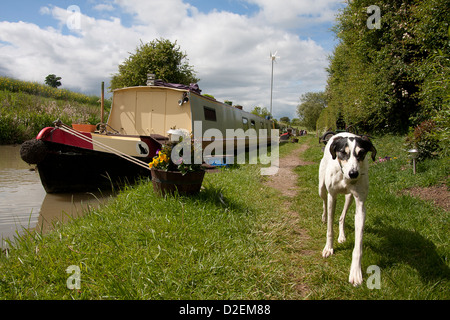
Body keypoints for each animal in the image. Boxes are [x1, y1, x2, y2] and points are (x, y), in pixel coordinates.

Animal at [318, 132, 378, 284]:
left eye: (361, 153)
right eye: (343, 152)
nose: (353, 173)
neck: (344, 176)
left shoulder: (361, 204)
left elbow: (358, 244)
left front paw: (356, 271)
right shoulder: (332, 196)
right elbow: (329, 229)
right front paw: (328, 248)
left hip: (349, 197)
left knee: (341, 217)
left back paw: (342, 235)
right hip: (321, 187)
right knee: (324, 201)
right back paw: (324, 217)